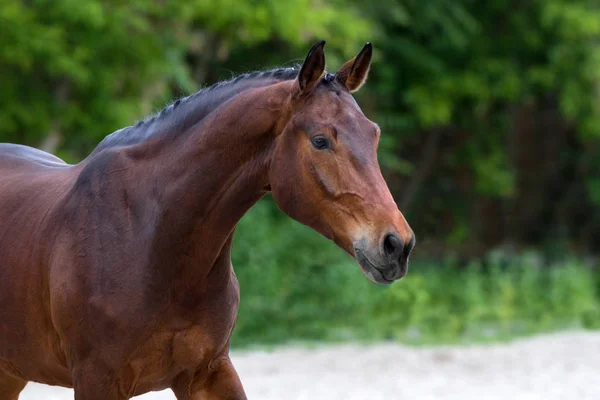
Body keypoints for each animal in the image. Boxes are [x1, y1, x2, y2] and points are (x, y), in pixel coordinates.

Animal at [0, 41, 412, 400]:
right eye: (320, 140)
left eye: (374, 135)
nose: (397, 245)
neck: (151, 241)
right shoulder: (96, 380)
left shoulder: (208, 372)